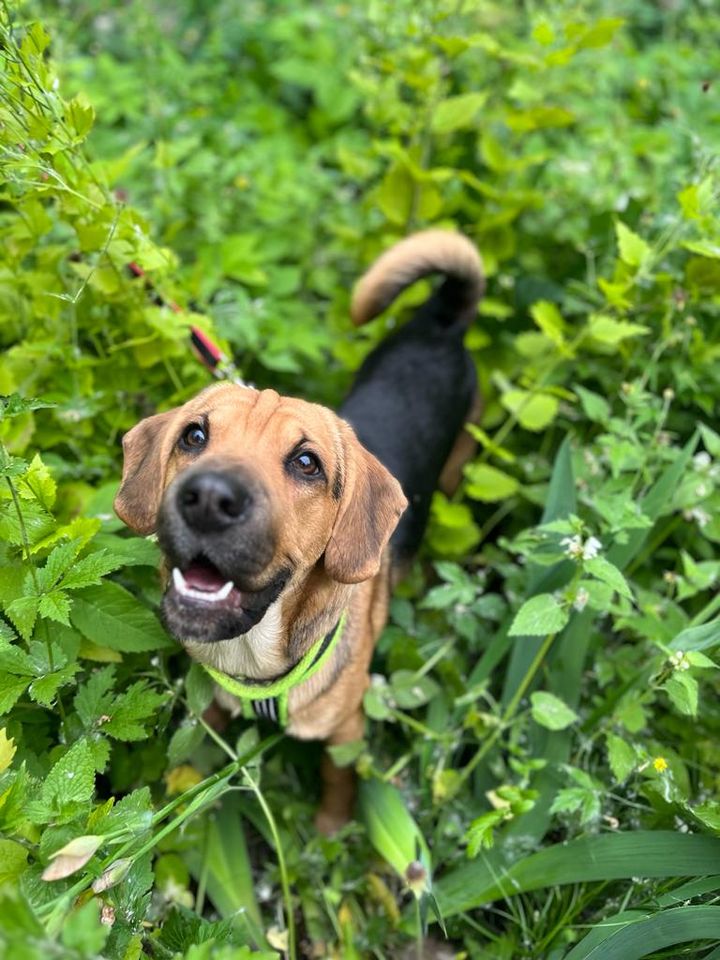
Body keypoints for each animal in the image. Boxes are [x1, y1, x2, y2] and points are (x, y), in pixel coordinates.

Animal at [114, 231, 484, 832]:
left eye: (307, 463)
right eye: (194, 435)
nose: (209, 499)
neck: (255, 658)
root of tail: (442, 320)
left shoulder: (346, 733)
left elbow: (337, 784)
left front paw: (329, 831)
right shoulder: (213, 708)